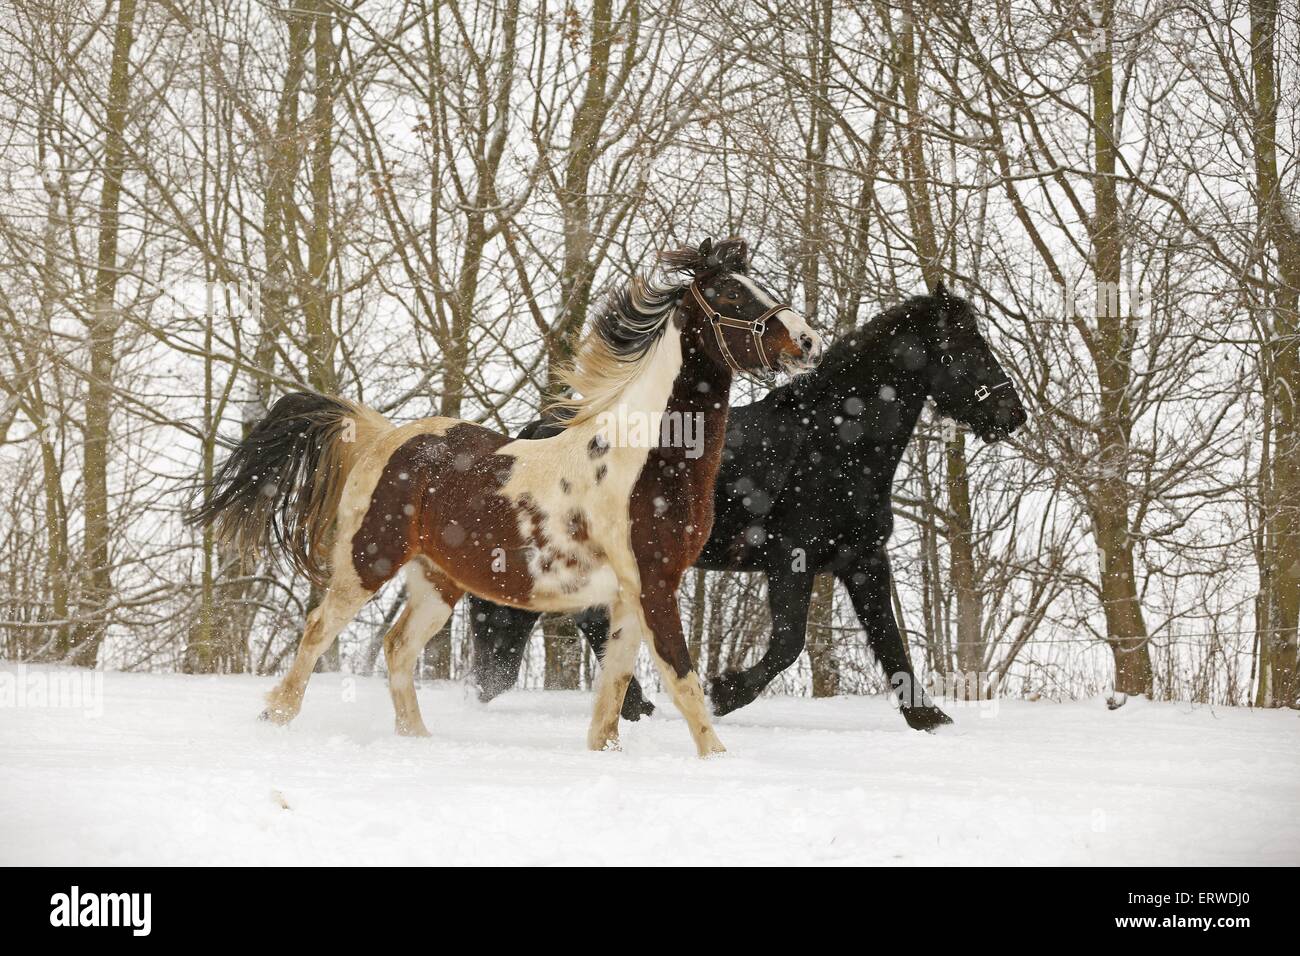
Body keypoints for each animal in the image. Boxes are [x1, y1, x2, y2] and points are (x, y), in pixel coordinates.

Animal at [189, 238, 821, 754]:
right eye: (732, 295)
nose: (808, 341)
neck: (640, 462)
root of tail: (382, 434)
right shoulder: (655, 584)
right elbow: (683, 680)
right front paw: (718, 757)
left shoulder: (630, 594)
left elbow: (614, 687)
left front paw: (606, 750)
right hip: (368, 561)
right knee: (320, 628)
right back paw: (276, 716)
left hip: (438, 579)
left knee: (397, 647)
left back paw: (417, 739)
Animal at [467, 280, 1024, 728]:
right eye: (963, 347)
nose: (1011, 413)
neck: (832, 448)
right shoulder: (791, 560)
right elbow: (788, 643)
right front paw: (724, 691)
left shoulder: (863, 559)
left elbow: (889, 639)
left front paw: (927, 717)